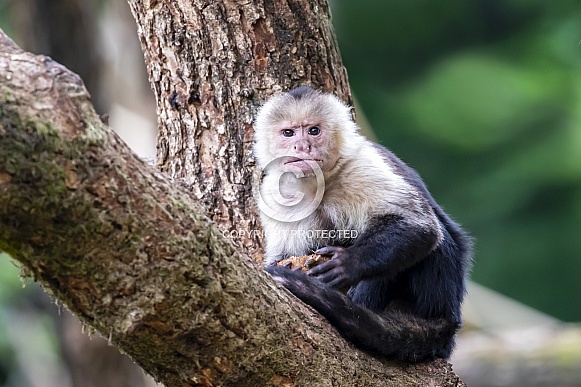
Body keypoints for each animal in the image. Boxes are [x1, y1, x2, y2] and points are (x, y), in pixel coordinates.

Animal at [254, 86, 472, 362]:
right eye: (288, 132)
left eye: (314, 130)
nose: (302, 146)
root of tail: (449, 317)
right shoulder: (273, 190)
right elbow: (283, 256)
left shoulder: (361, 165)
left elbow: (419, 226)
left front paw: (347, 264)